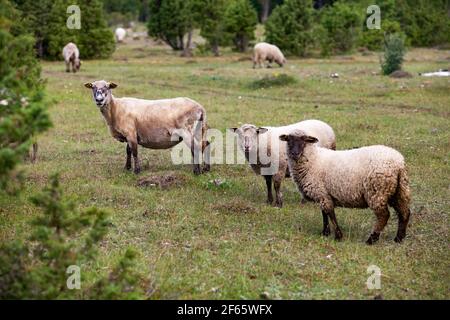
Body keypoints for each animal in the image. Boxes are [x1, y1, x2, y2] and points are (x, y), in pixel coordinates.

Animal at [282, 131, 412, 245]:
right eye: (289, 140)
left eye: (304, 141)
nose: (294, 153)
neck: (313, 159)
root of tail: (398, 163)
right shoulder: (322, 194)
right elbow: (324, 214)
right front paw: (325, 233)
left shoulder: (321, 193)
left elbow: (330, 213)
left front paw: (338, 236)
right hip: (399, 190)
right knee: (404, 213)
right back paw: (398, 239)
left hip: (377, 192)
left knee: (384, 216)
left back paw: (371, 239)